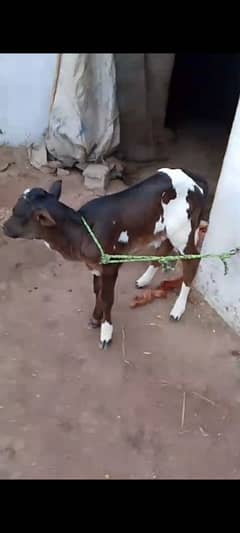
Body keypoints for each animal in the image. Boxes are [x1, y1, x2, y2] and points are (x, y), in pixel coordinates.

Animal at [2, 167, 208, 350]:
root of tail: (196, 180)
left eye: (16, 212)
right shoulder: (96, 266)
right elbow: (97, 292)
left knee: (193, 261)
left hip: (183, 231)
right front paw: (95, 318)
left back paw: (177, 310)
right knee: (165, 247)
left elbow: (108, 298)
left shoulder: (111, 265)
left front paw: (106, 333)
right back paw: (144, 280)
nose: (3, 227)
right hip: (166, 230)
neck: (82, 233)